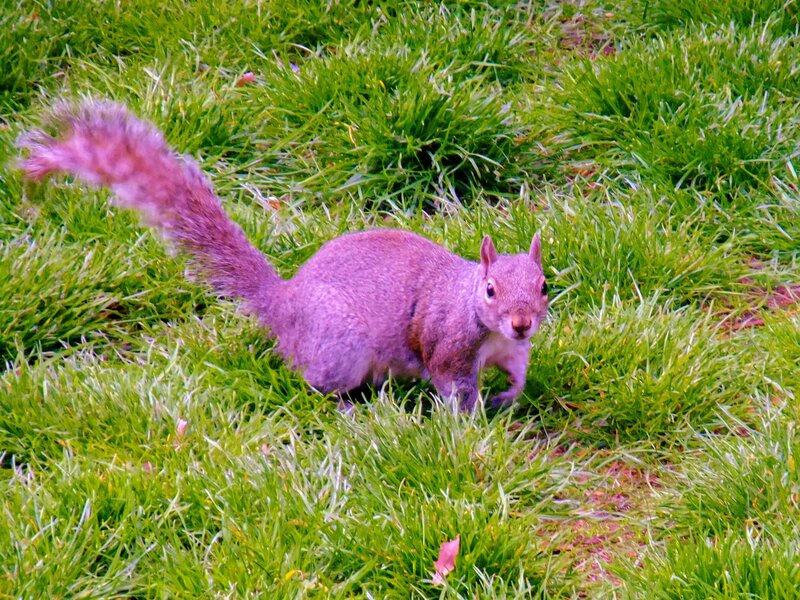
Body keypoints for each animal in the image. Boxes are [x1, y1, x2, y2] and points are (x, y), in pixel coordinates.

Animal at [17, 100, 549, 411]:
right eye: (490, 290)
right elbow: (454, 389)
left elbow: (519, 374)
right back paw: (350, 408)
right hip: (339, 349)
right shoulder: (449, 347)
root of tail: (283, 304)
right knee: (311, 383)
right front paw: (472, 426)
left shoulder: (512, 351)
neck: (485, 325)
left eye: (544, 286)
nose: (522, 323)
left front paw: (509, 395)